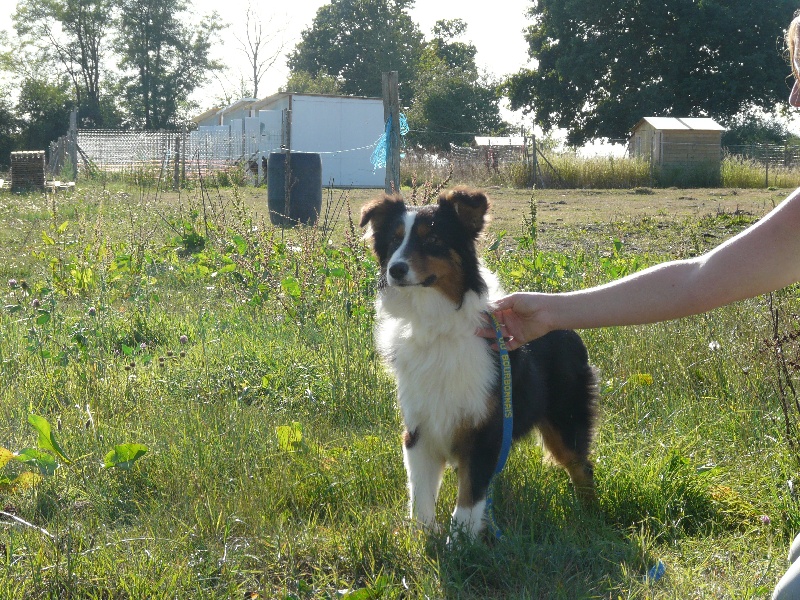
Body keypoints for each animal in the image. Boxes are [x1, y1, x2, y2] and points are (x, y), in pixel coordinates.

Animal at [360, 185, 596, 536]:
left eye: (433, 239)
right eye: (393, 241)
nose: (395, 270)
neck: (435, 323)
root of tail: (568, 328)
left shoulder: (484, 432)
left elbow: (469, 500)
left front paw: (459, 542)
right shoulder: (419, 428)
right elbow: (421, 497)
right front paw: (423, 538)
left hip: (565, 420)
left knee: (582, 465)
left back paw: (592, 518)